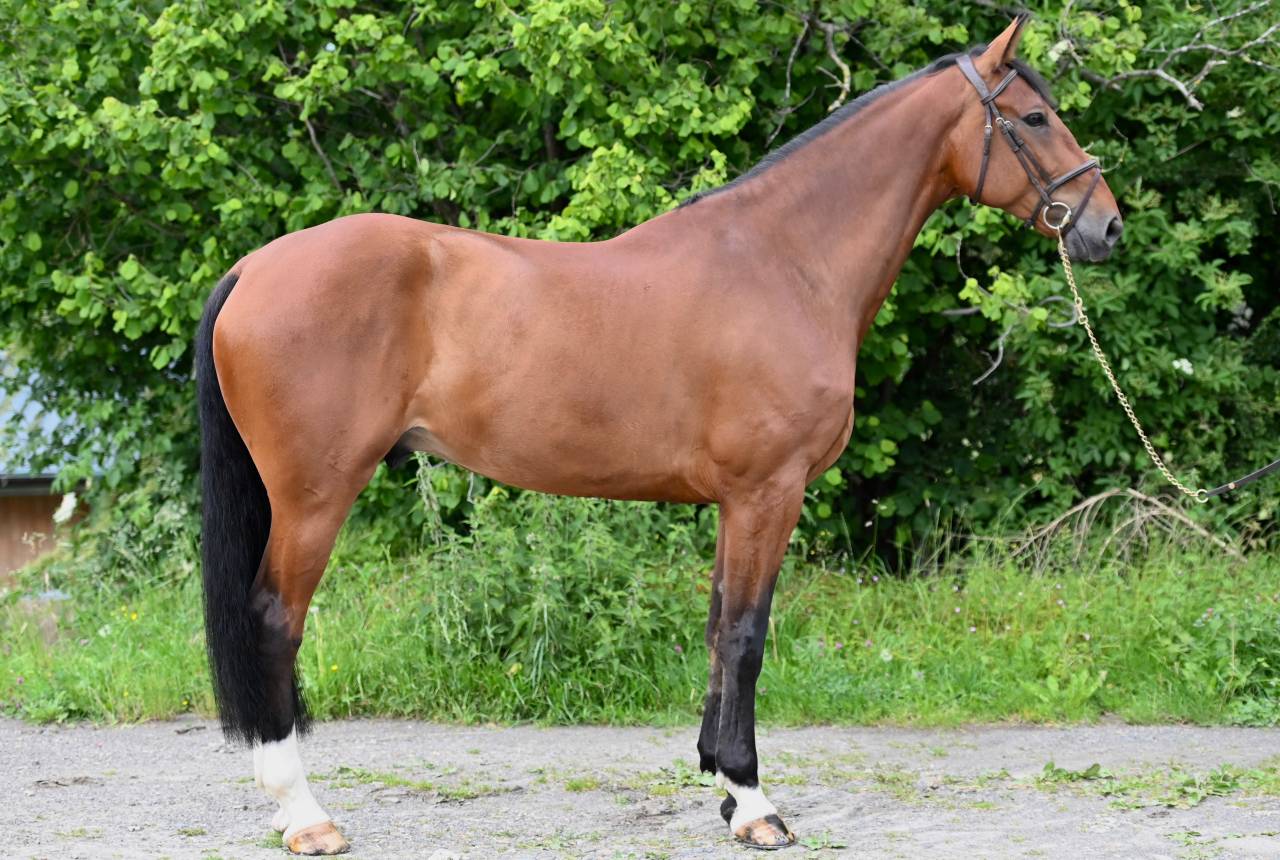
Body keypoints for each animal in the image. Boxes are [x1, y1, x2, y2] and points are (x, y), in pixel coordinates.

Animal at [196, 15, 1121, 853]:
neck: (784, 262)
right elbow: (746, 638)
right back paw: (306, 816)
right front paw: (755, 806)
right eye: (1034, 118)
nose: (1105, 226)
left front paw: (721, 782)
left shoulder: (735, 503)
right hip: (315, 495)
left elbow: (717, 629)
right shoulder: (766, 492)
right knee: (274, 619)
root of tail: (253, 268)